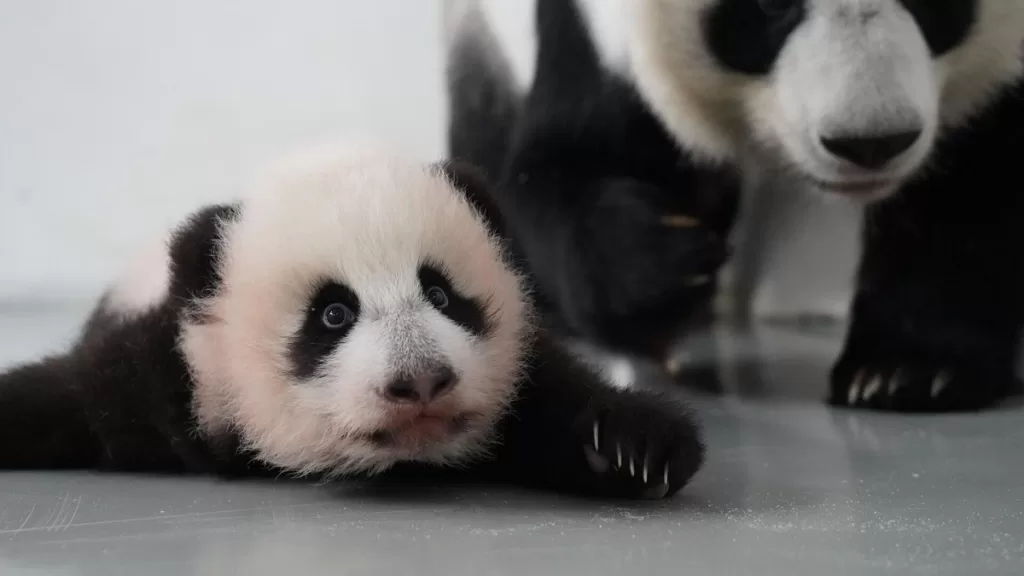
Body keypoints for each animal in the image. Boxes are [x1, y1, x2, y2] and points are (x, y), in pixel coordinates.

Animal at [0, 147, 704, 500]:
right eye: (333, 314)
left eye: (440, 293)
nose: (421, 382)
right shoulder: (158, 371)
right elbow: (63, 396)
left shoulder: (515, 367)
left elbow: (554, 396)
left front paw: (634, 446)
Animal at [444, 0, 1024, 412]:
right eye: (769, 3)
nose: (872, 144)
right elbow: (563, 165)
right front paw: (663, 263)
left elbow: (974, 189)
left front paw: (904, 369)